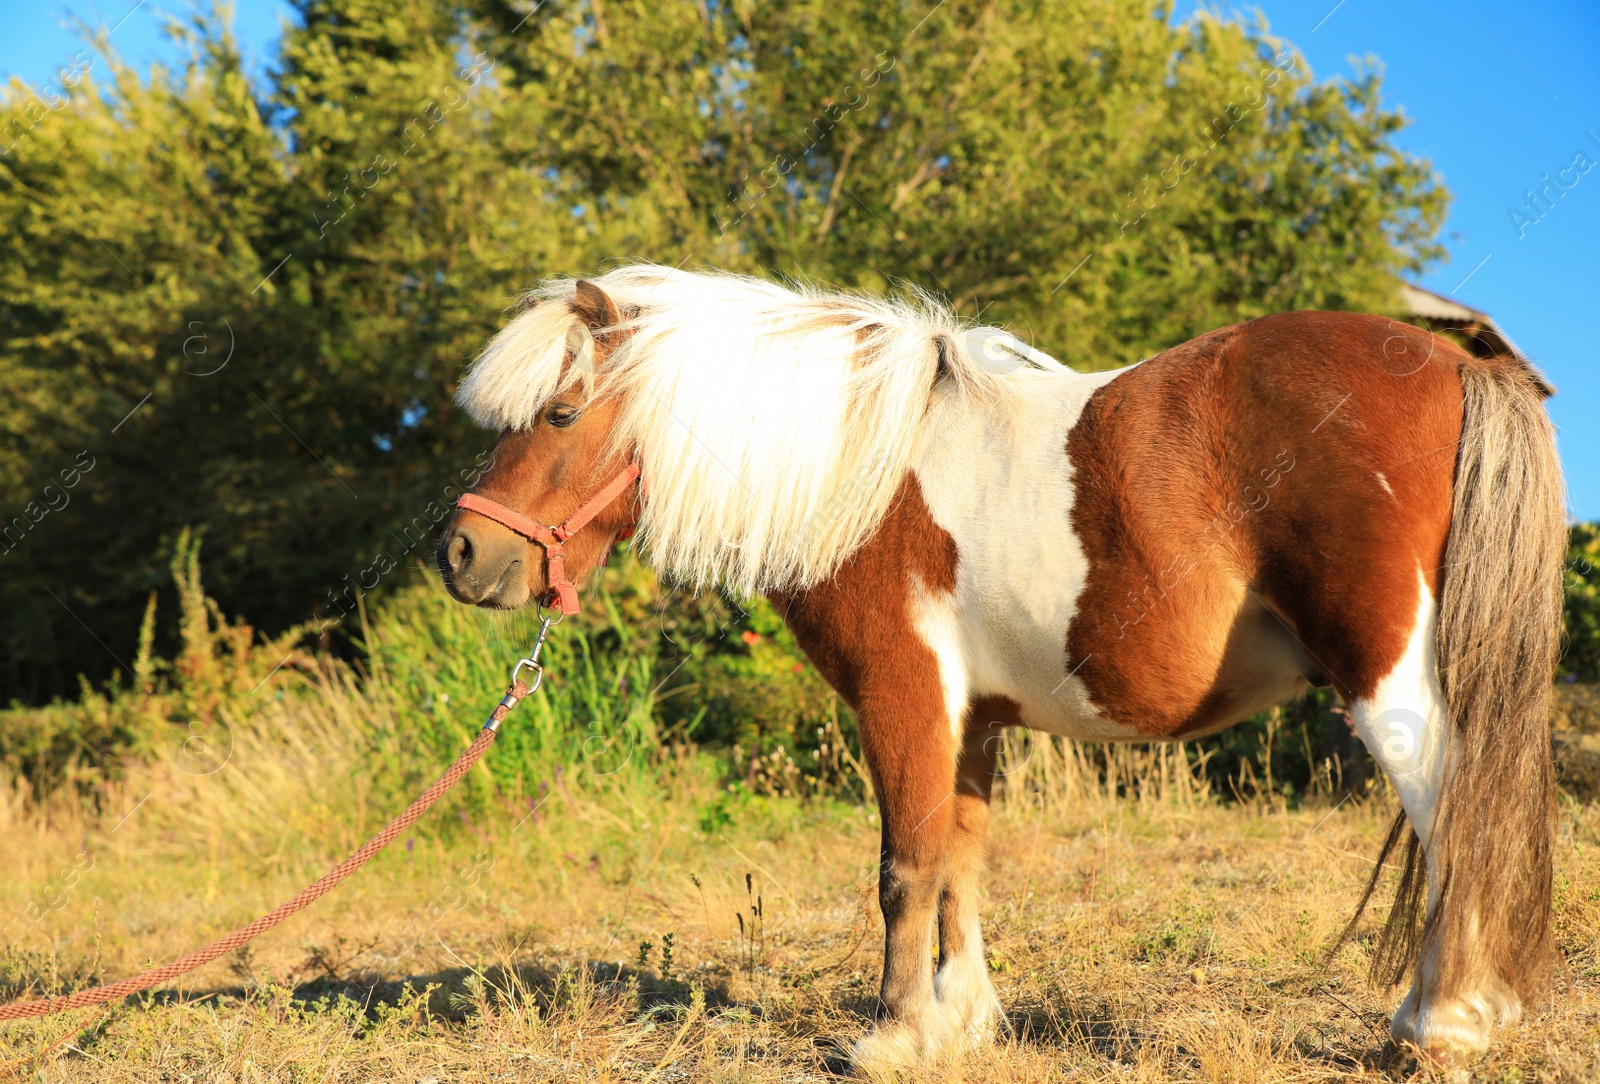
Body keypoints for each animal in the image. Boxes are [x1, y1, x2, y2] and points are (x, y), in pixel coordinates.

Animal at [438, 263, 1561, 1068]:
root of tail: (1454, 365)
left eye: (560, 414)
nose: (462, 554)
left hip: (1391, 684)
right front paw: (963, 1017)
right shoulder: (970, 716)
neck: (861, 471)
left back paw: (1440, 1029)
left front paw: (891, 1036)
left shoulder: (902, 698)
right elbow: (960, 863)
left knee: (1454, 817)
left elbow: (903, 867)